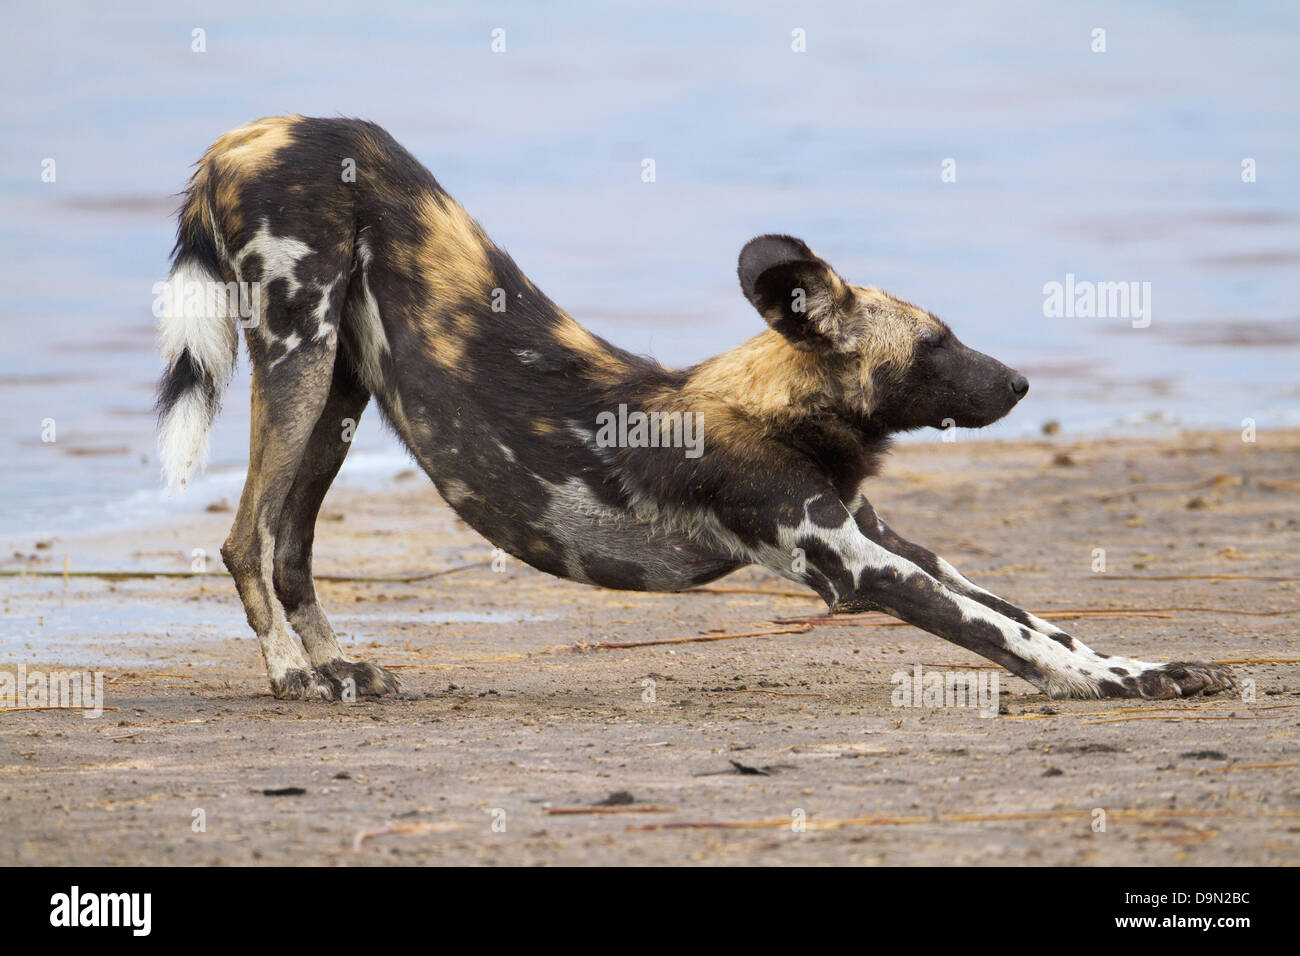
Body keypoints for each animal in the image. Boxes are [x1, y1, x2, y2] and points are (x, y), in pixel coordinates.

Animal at [157, 117, 1232, 702]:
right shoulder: (857, 565)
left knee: (290, 544)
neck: (780, 410)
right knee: (246, 537)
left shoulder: (890, 541)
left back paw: (339, 669)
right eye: (936, 344)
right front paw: (1116, 685)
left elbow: (1035, 619)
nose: (1018, 383)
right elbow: (1004, 633)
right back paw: (294, 678)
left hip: (335, 394)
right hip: (297, 358)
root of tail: (246, 136)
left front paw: (1148, 667)